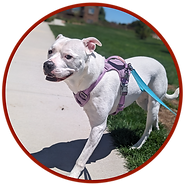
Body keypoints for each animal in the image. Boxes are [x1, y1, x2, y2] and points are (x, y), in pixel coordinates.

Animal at [42, 34, 178, 178]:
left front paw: (73, 175)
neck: (92, 77)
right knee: (155, 114)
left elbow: (82, 157)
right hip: (143, 102)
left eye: (68, 56)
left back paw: (138, 145)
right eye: (50, 51)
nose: (47, 64)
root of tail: (159, 63)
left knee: (148, 127)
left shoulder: (98, 127)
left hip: (152, 103)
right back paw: (156, 126)